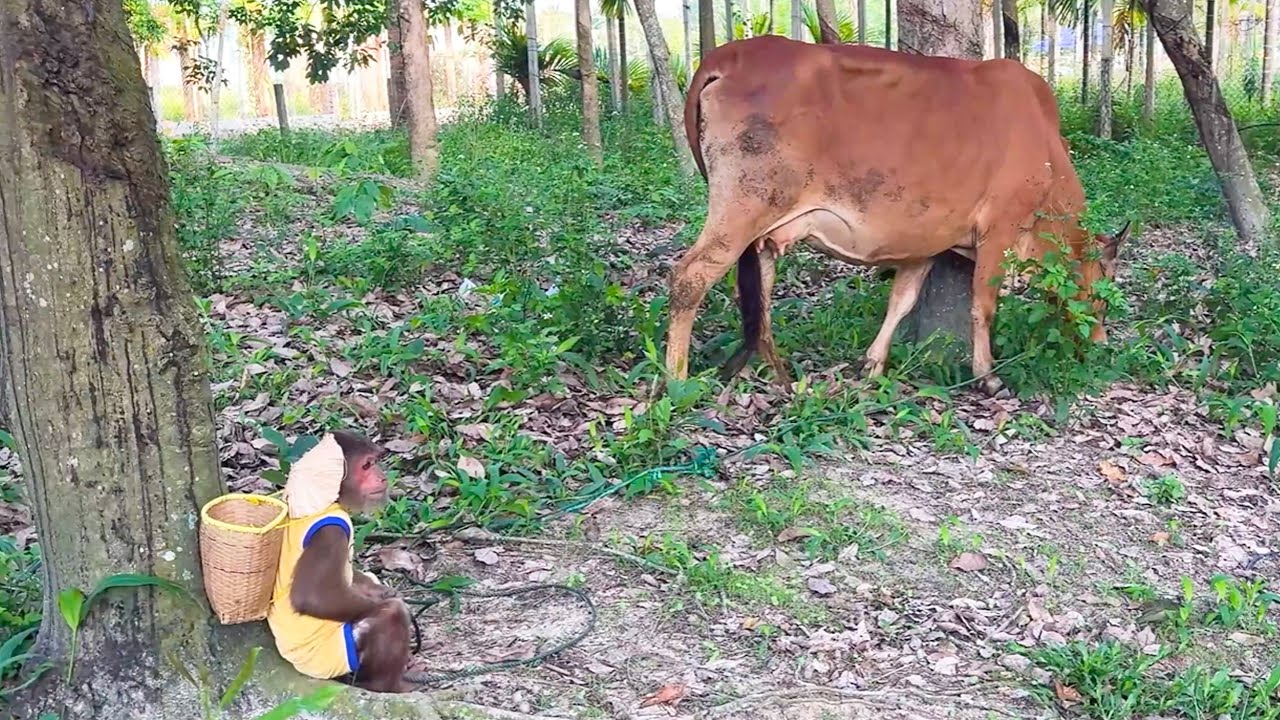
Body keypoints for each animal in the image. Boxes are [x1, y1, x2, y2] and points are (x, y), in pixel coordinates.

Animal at [266, 430, 414, 693]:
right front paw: (388, 600)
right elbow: (312, 598)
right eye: (366, 466)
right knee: (391, 616)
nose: (381, 477)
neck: (330, 500)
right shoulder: (331, 534)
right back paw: (384, 685)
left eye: (374, 462)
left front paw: (382, 590)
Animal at [663, 35, 1130, 397]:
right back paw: (676, 380)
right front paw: (988, 376)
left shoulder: (927, 243)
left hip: (762, 221)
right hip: (743, 206)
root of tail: (727, 57)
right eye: (1104, 295)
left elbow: (901, 301)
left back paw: (775, 373)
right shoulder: (1000, 228)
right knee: (690, 277)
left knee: (757, 289)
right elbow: (983, 305)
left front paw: (872, 364)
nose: (1102, 342)